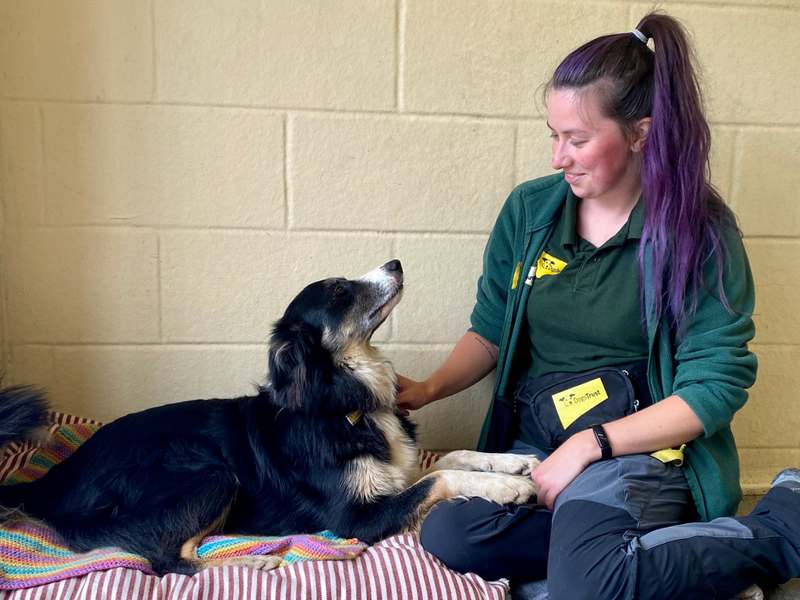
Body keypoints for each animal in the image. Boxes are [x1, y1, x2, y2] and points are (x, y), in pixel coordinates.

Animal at [0, 258, 540, 576]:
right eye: (340, 291)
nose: (396, 261)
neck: (347, 399)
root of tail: (52, 478)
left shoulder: (396, 471)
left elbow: (448, 457)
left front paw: (509, 464)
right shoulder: (355, 519)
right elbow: (440, 477)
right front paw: (507, 488)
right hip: (212, 474)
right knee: (167, 562)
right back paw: (250, 566)